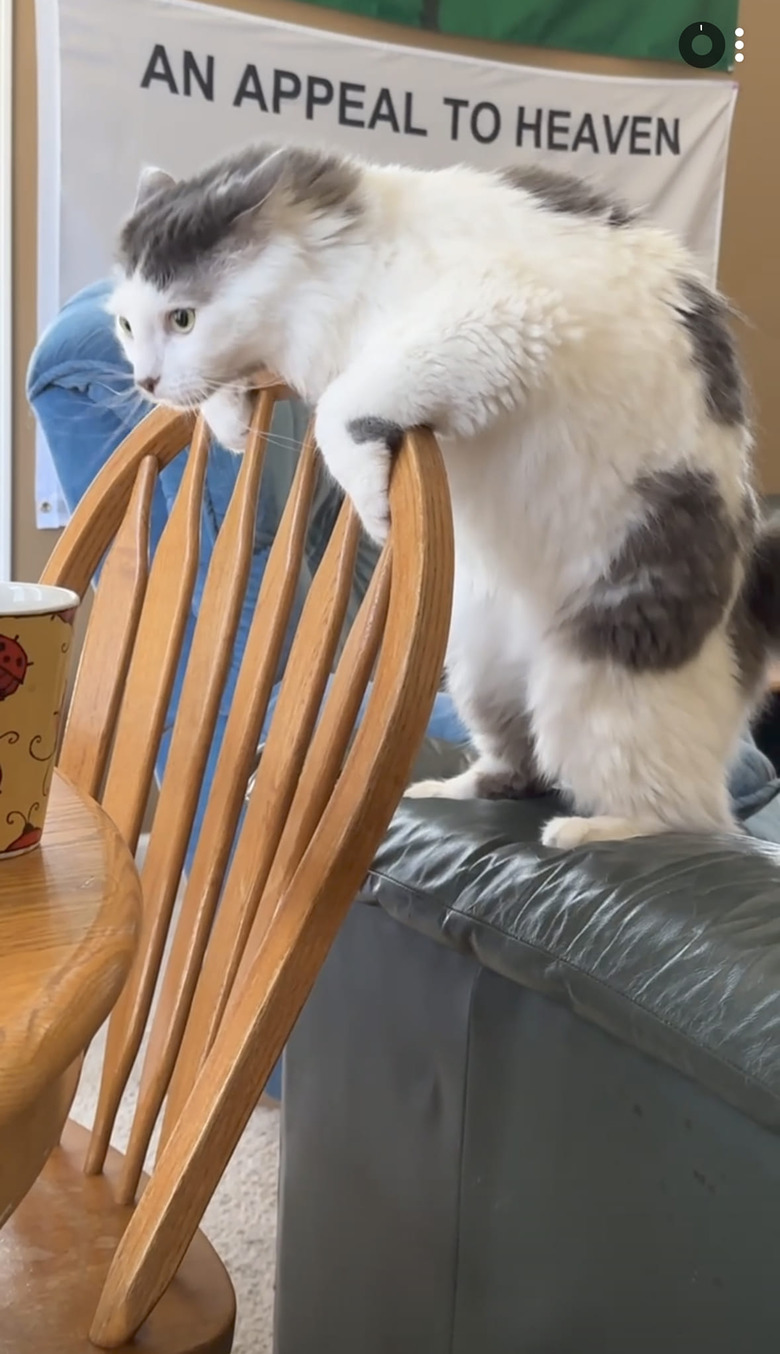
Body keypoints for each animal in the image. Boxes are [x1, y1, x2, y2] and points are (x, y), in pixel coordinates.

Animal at [108, 145, 780, 844]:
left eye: (182, 317)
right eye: (126, 324)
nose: (145, 380)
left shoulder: (498, 320)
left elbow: (340, 406)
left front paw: (374, 503)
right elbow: (234, 393)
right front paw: (230, 420)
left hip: (599, 684)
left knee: (690, 814)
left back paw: (592, 829)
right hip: (479, 668)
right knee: (521, 768)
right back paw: (440, 790)